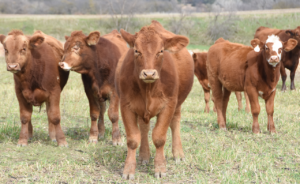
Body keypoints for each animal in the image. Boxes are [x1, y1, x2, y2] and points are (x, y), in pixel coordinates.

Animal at [115, 20, 195, 180]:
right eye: (136, 51)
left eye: (161, 51)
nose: (149, 73)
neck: (148, 89)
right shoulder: (126, 106)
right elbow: (133, 139)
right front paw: (128, 170)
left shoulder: (168, 105)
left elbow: (159, 137)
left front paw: (160, 168)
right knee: (144, 128)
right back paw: (144, 155)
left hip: (178, 104)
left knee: (175, 123)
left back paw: (178, 154)